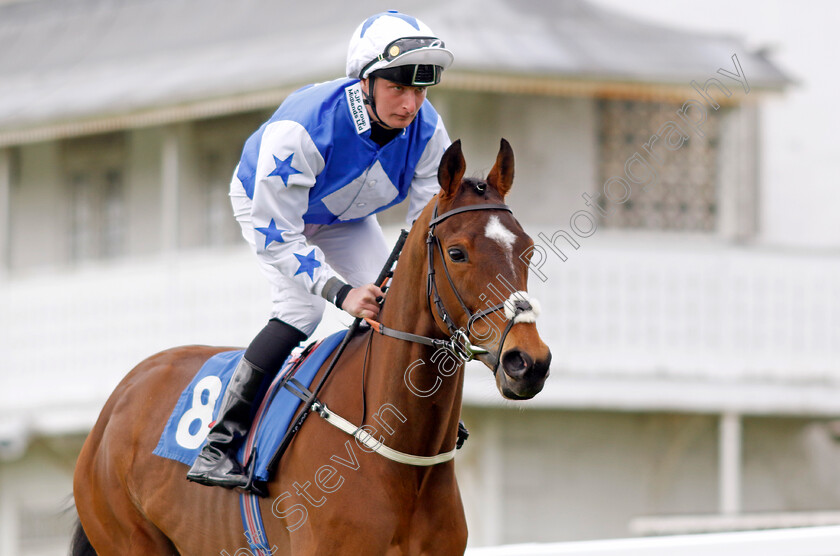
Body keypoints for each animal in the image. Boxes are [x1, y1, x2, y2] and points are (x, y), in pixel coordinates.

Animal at [74, 139, 552, 556]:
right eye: (456, 253)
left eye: (528, 250)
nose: (528, 362)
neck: (398, 461)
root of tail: (120, 398)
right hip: (127, 536)